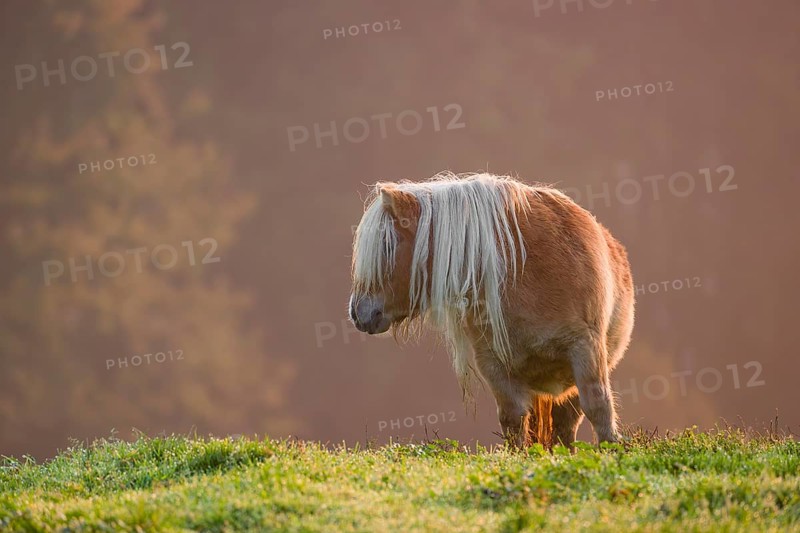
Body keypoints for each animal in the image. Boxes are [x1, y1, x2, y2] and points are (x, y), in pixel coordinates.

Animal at [348, 172, 634, 448]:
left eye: (387, 245)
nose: (357, 312)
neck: (522, 272)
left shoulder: (584, 348)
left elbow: (598, 409)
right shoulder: (495, 364)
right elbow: (513, 421)